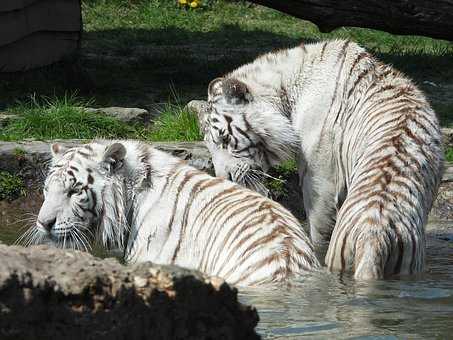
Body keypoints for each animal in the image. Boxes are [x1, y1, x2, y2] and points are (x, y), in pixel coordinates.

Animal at [200, 39, 444, 278]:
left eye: (224, 139)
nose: (224, 178)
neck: (285, 92)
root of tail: (373, 240)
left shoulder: (320, 179)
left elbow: (318, 231)